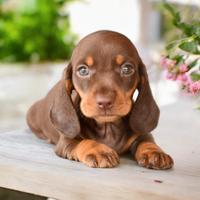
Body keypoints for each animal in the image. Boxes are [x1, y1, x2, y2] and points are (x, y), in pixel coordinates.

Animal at [26, 30, 173, 170]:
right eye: (83, 70)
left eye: (127, 69)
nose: (105, 102)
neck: (108, 127)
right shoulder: (66, 141)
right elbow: (84, 142)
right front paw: (98, 151)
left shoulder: (141, 134)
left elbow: (146, 140)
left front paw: (154, 152)